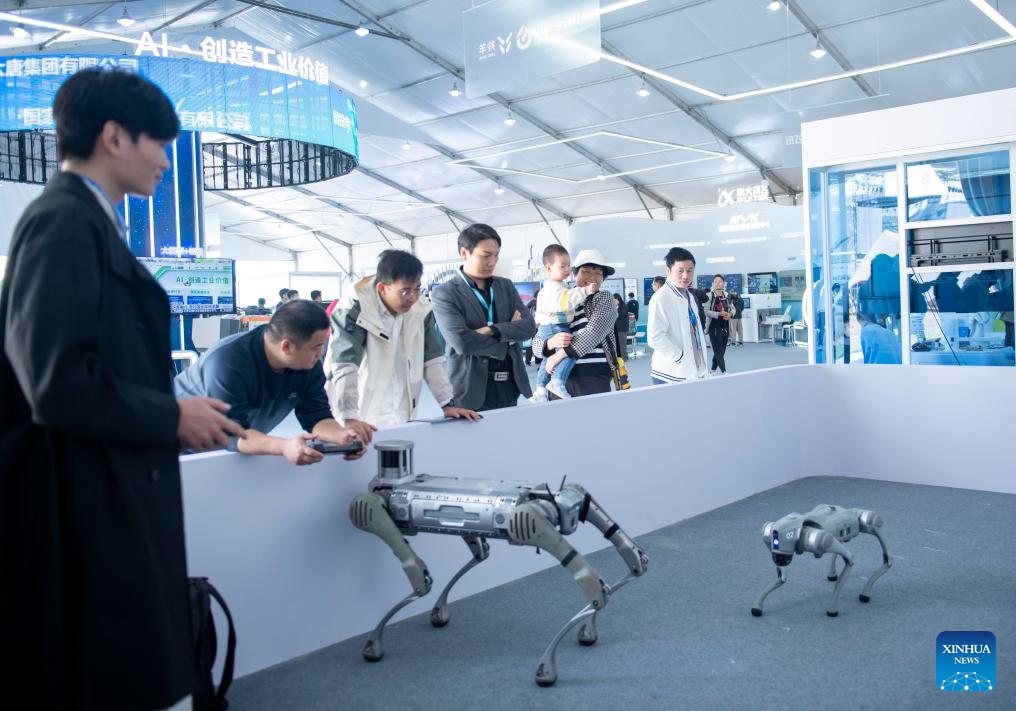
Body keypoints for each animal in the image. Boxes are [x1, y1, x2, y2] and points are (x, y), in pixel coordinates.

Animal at [755, 505, 890, 617]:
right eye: (775, 541)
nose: (780, 560)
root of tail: (849, 511)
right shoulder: (767, 536)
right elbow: (782, 577)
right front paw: (757, 606)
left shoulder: (822, 539)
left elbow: (850, 558)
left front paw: (832, 610)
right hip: (840, 536)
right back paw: (832, 575)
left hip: (867, 522)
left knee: (882, 543)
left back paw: (866, 592)